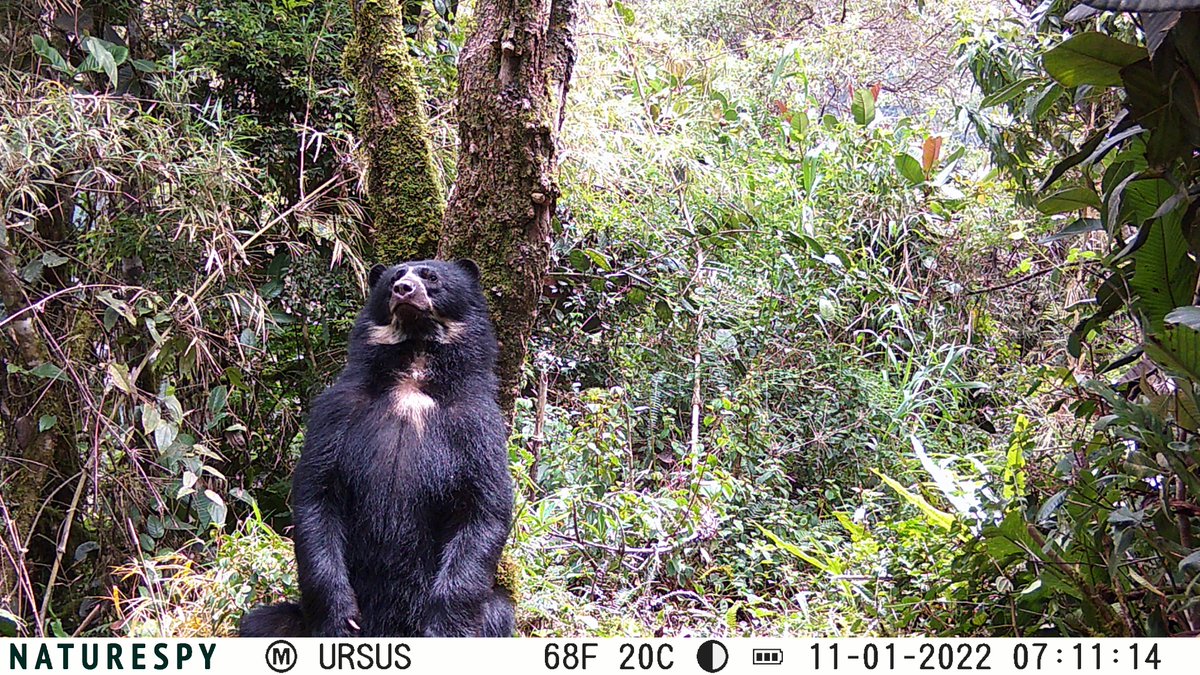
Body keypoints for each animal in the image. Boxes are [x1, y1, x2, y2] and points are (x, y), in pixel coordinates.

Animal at [239, 259, 515, 637]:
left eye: (431, 277)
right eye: (394, 278)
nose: (404, 290)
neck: (413, 372)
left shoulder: (477, 426)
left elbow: (484, 507)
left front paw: (443, 627)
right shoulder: (336, 412)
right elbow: (317, 494)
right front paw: (342, 618)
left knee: (498, 614)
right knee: (262, 623)